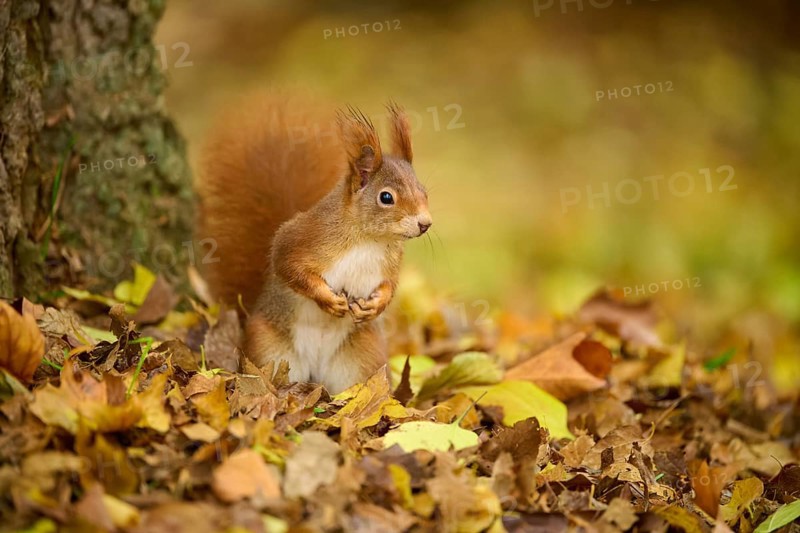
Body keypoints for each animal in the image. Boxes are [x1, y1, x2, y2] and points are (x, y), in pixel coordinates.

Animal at [195, 92, 432, 394]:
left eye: (423, 191)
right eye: (386, 197)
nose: (425, 223)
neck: (369, 239)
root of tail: (315, 370)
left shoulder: (390, 262)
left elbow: (390, 285)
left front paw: (376, 305)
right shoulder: (301, 238)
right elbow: (288, 266)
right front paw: (329, 300)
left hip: (363, 356)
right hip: (268, 348)